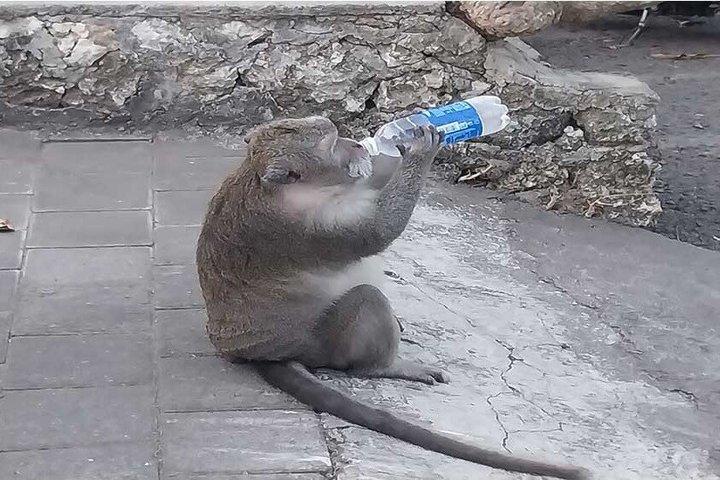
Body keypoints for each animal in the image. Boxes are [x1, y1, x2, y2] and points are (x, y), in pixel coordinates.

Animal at [196, 115, 590, 480]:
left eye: (336, 132)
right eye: (333, 144)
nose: (356, 143)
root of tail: (263, 352)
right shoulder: (309, 227)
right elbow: (379, 231)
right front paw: (421, 147)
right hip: (318, 344)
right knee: (366, 301)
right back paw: (383, 366)